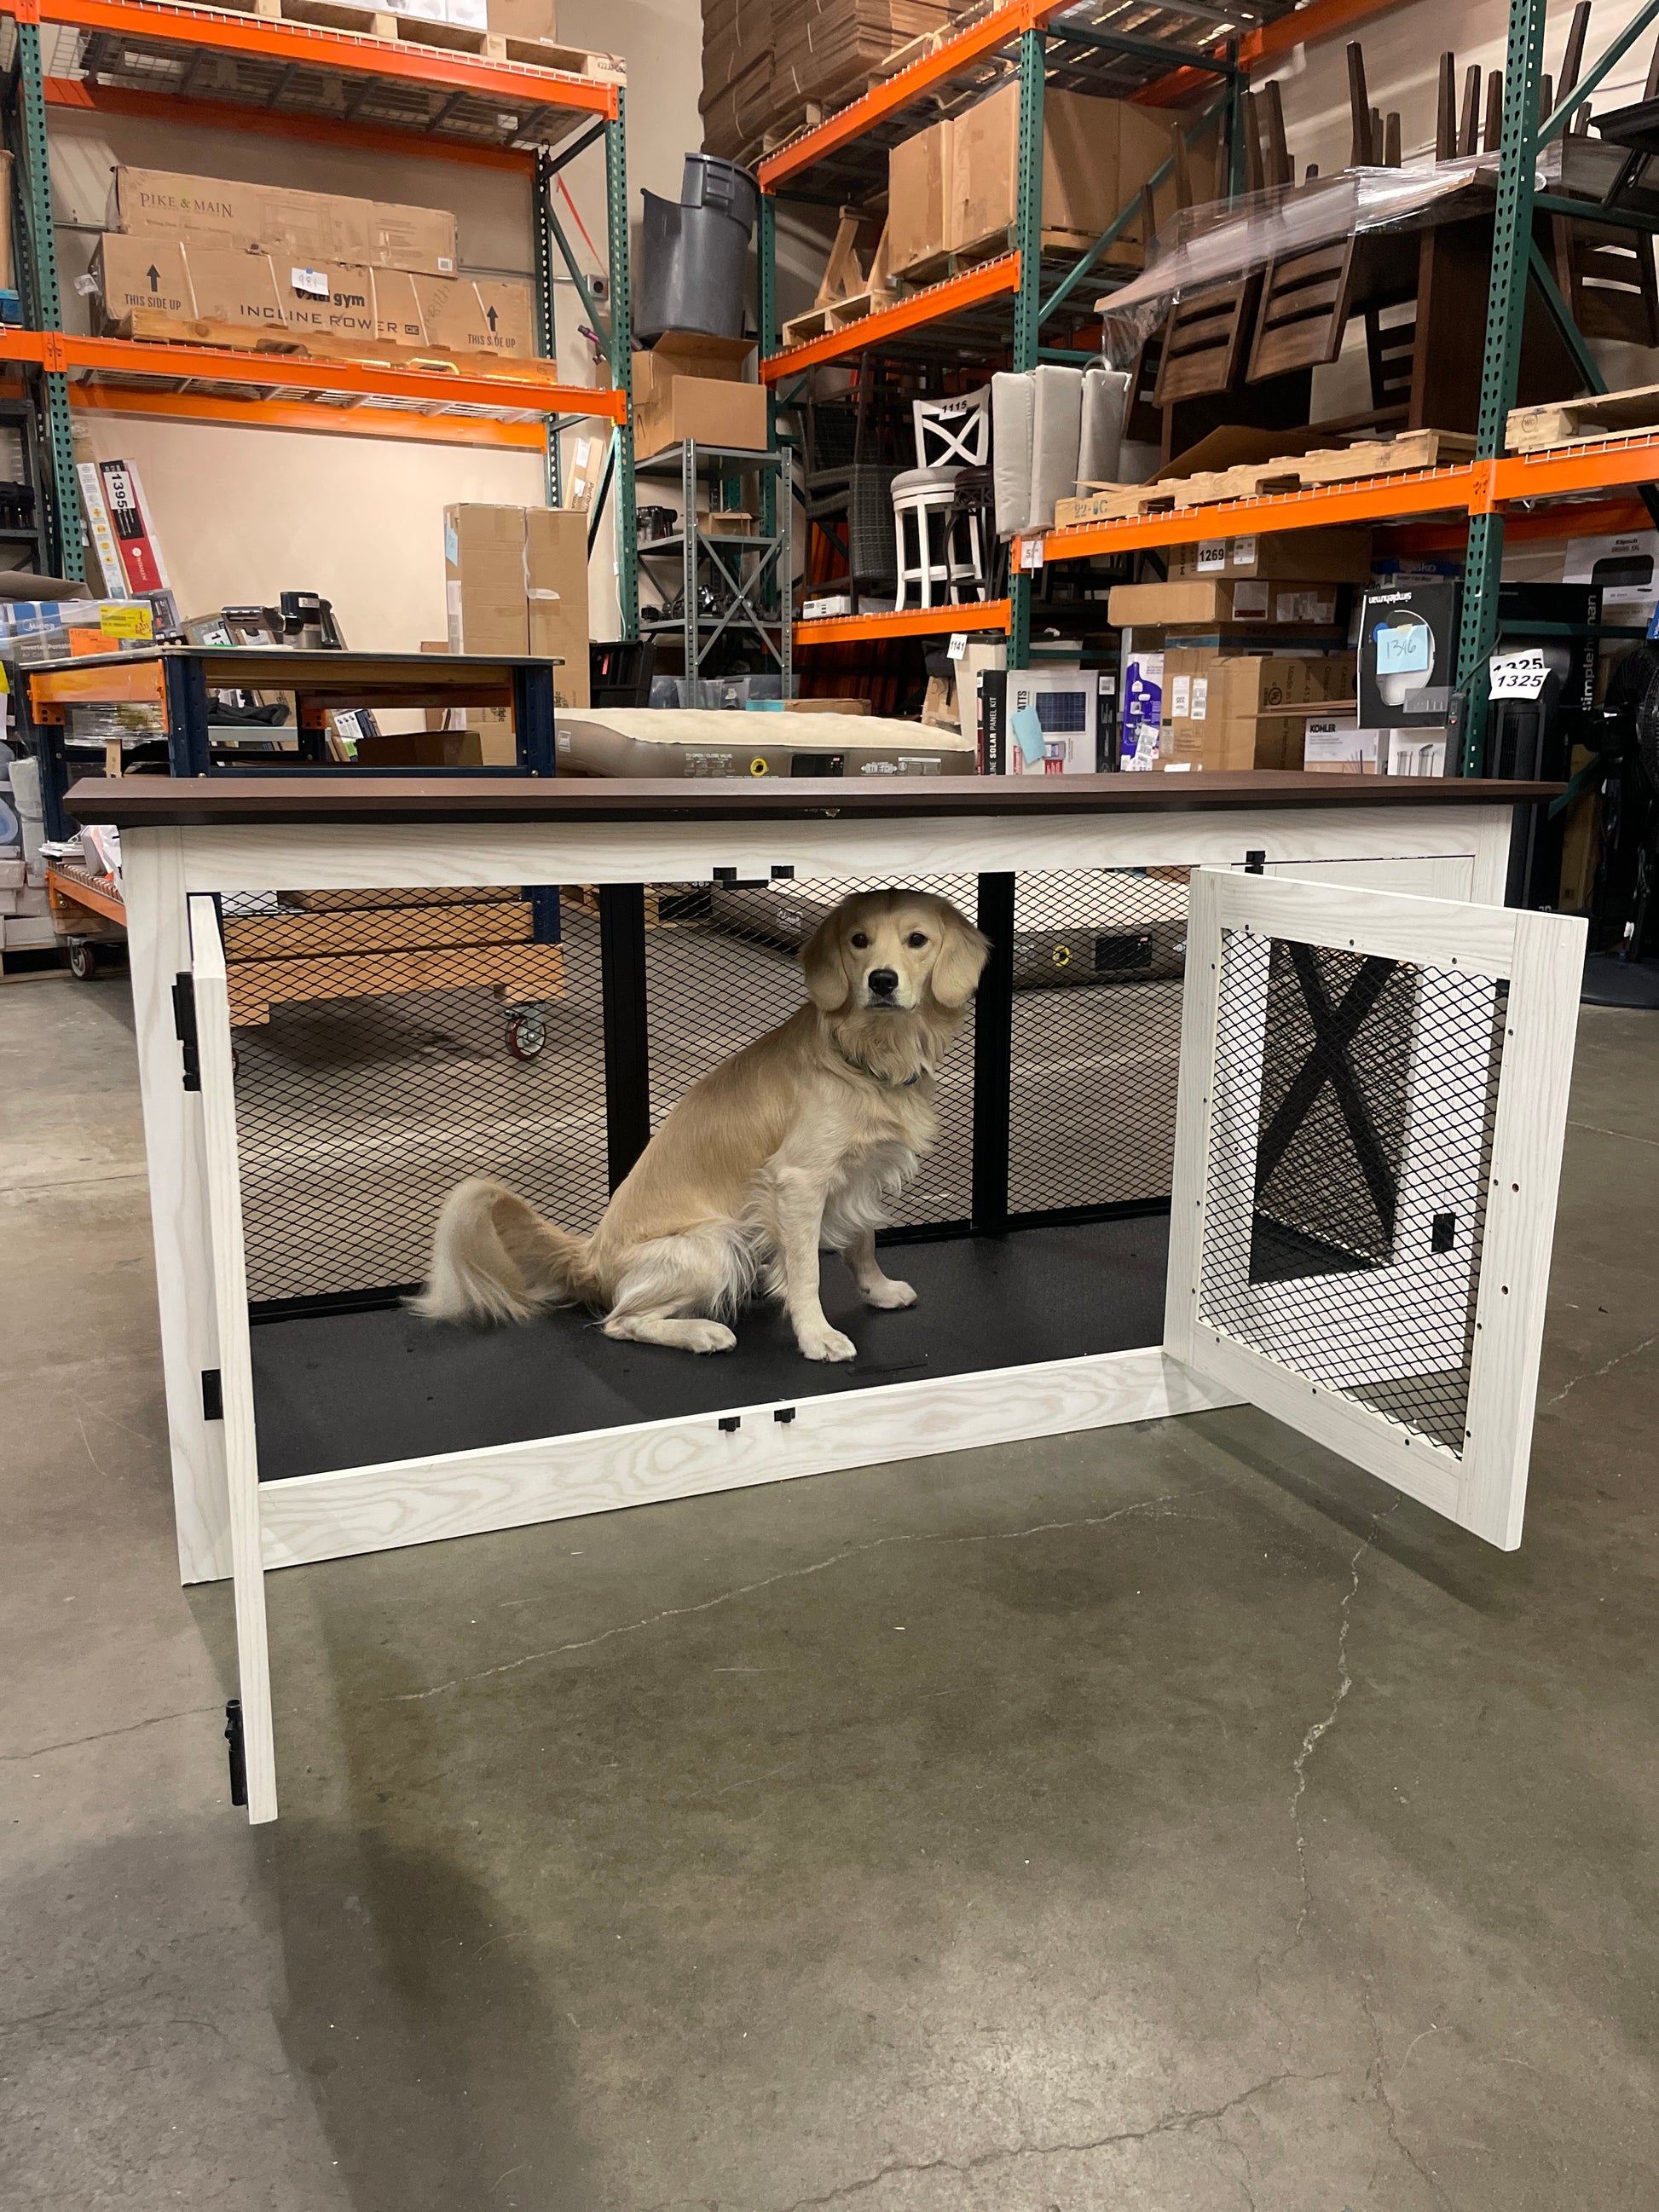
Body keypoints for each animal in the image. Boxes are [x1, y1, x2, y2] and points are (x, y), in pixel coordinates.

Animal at [415, 889, 986, 1354]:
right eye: (859, 941)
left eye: (917, 940)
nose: (882, 981)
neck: (868, 1053)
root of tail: (590, 1259)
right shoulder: (799, 1181)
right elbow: (806, 1272)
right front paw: (816, 1334)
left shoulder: (858, 1172)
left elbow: (863, 1241)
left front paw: (878, 1289)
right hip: (715, 1243)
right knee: (620, 1322)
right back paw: (702, 1333)